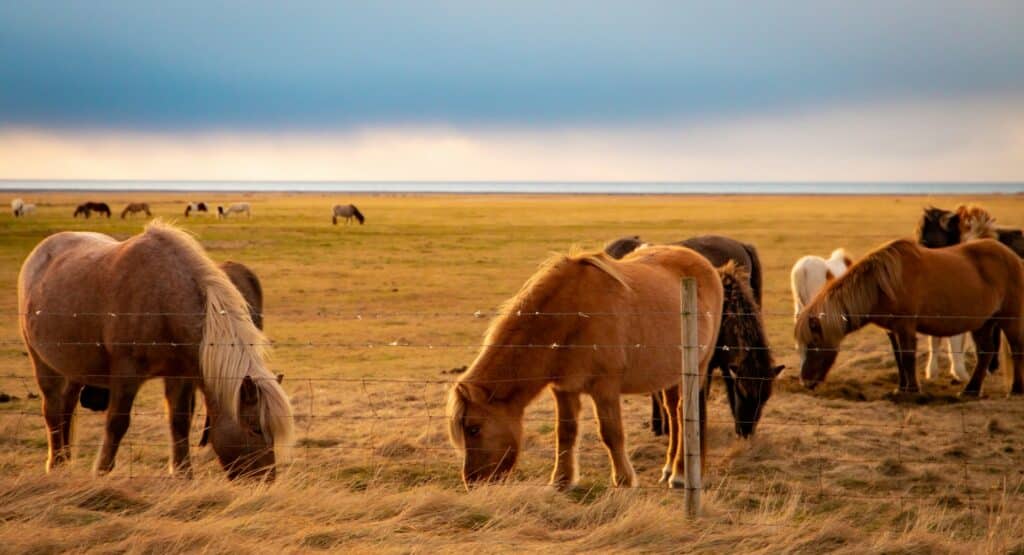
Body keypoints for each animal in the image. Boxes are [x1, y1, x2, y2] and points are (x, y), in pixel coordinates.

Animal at [18, 220, 294, 481]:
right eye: (255, 429)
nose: (266, 480)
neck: (164, 300)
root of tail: (40, 253)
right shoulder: (126, 373)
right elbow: (117, 422)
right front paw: (102, 471)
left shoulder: (179, 375)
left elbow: (179, 422)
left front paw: (183, 473)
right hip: (42, 363)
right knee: (53, 410)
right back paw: (56, 464)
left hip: (75, 368)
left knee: (66, 408)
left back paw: (66, 461)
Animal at [444, 245, 724, 489]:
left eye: (474, 428)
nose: (472, 482)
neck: (571, 316)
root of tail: (703, 263)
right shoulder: (564, 389)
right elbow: (565, 433)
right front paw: (561, 481)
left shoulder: (605, 388)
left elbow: (611, 433)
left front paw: (624, 480)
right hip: (671, 374)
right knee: (675, 414)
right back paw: (669, 470)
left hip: (698, 368)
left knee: (686, 413)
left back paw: (680, 474)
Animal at [798, 239, 1024, 401]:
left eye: (814, 343)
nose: (805, 381)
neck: (883, 284)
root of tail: (1013, 257)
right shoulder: (893, 330)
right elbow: (899, 357)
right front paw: (902, 387)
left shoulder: (906, 327)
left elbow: (907, 357)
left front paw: (912, 390)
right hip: (983, 323)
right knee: (985, 353)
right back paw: (970, 390)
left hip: (1010, 319)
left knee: (1016, 350)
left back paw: (1015, 390)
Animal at [917, 206, 1019, 380]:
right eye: (920, 237)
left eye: (928, 239)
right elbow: (936, 339)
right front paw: (932, 372)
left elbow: (958, 340)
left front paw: (961, 373)